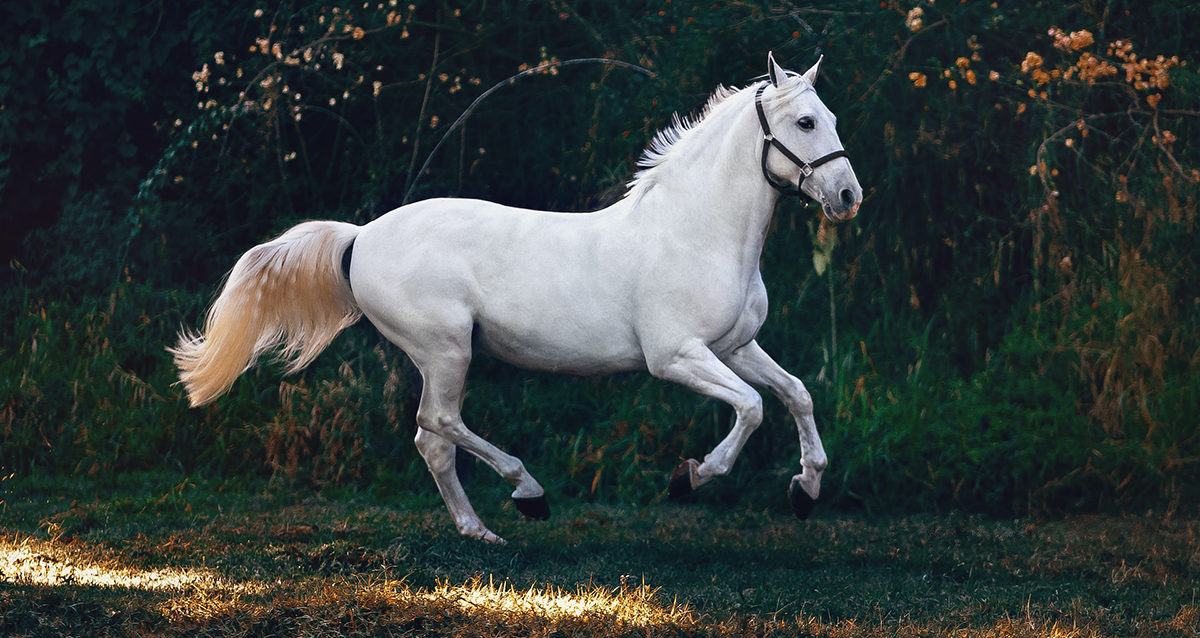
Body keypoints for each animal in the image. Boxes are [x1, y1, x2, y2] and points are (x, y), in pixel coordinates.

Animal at [171, 54, 864, 544]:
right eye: (805, 122)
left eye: (832, 119)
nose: (848, 196)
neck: (696, 231)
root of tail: (361, 236)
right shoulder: (677, 357)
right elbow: (751, 408)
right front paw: (689, 477)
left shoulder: (736, 346)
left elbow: (796, 393)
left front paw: (805, 489)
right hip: (446, 350)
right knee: (439, 425)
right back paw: (527, 493)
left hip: (443, 356)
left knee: (432, 441)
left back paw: (480, 530)